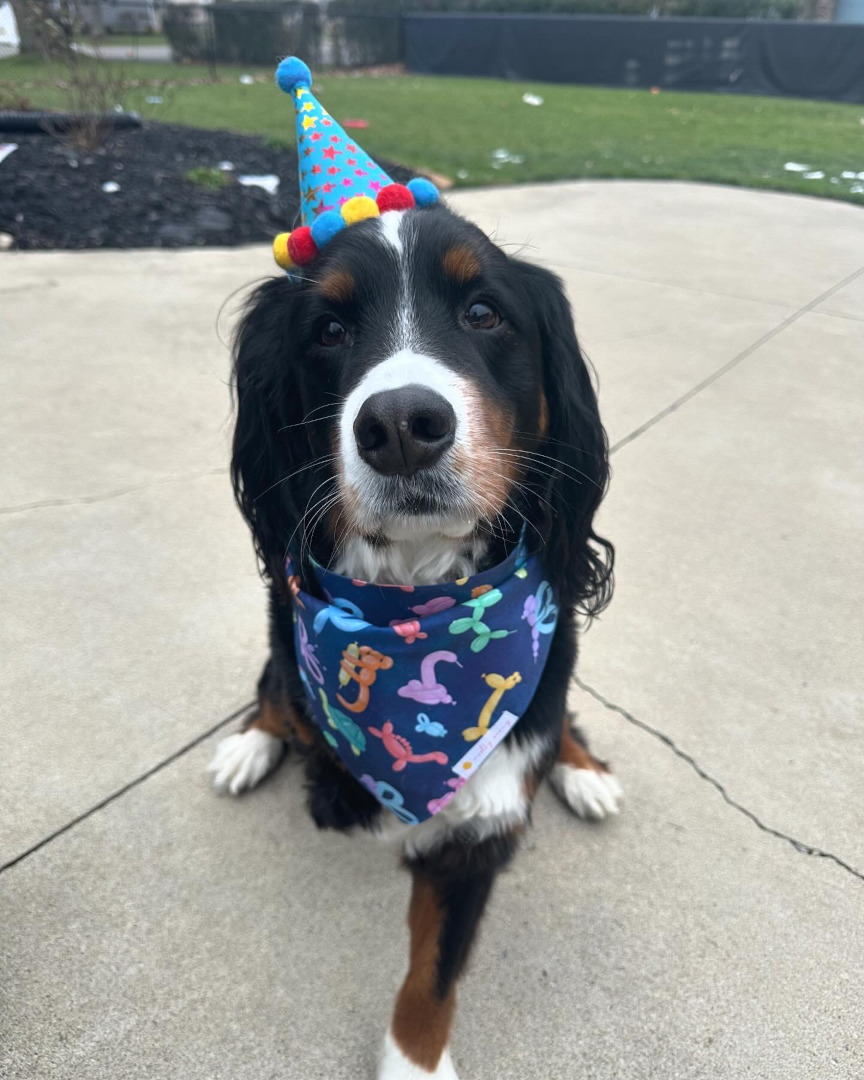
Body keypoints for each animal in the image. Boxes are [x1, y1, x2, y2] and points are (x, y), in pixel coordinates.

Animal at [209, 204, 622, 1080]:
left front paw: (413, 1062)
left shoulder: (478, 831)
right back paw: (248, 746)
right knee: (272, 691)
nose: (400, 425)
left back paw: (584, 772)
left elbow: (433, 975)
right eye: (328, 330)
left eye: (484, 312)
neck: (418, 600)